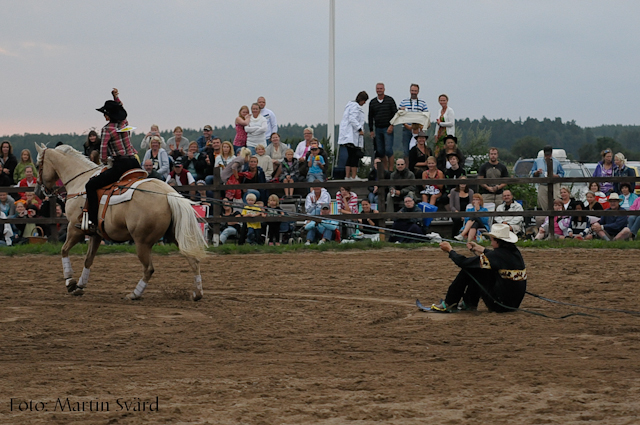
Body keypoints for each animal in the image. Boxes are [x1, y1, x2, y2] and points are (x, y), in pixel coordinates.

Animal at [35, 144, 208, 300]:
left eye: (37, 165)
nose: (38, 192)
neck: (80, 183)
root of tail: (168, 194)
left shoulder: (74, 229)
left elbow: (64, 250)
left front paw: (70, 282)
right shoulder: (96, 234)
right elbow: (88, 260)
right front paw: (79, 286)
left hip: (142, 242)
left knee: (149, 269)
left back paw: (134, 294)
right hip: (175, 236)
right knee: (193, 260)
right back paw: (197, 293)